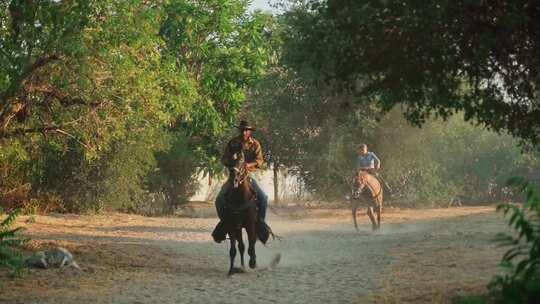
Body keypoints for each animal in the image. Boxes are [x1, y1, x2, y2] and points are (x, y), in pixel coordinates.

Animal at [223, 147, 258, 276]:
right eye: (230, 161)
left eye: (242, 161)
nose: (235, 178)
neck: (240, 198)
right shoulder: (231, 225)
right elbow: (233, 249)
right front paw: (231, 270)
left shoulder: (250, 224)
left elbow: (252, 243)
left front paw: (252, 262)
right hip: (238, 229)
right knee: (241, 246)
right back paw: (242, 266)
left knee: (249, 243)